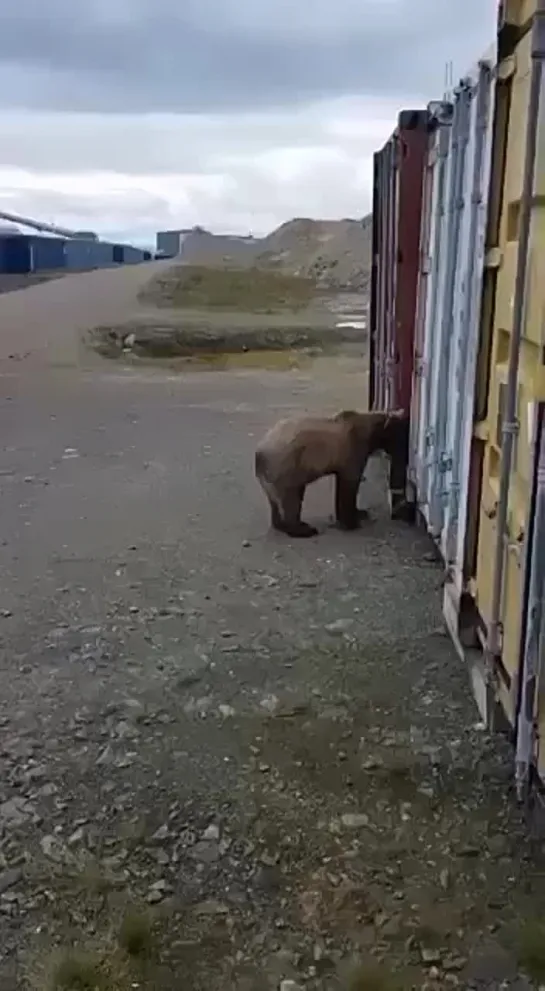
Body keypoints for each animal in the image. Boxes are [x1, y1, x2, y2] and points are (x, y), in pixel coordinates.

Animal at [254, 408, 404, 540]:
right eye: (399, 437)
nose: (400, 453)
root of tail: (259, 452)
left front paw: (360, 513)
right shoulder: (352, 451)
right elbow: (349, 486)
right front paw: (352, 522)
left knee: (277, 501)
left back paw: (282, 524)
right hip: (286, 466)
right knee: (291, 499)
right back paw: (304, 529)